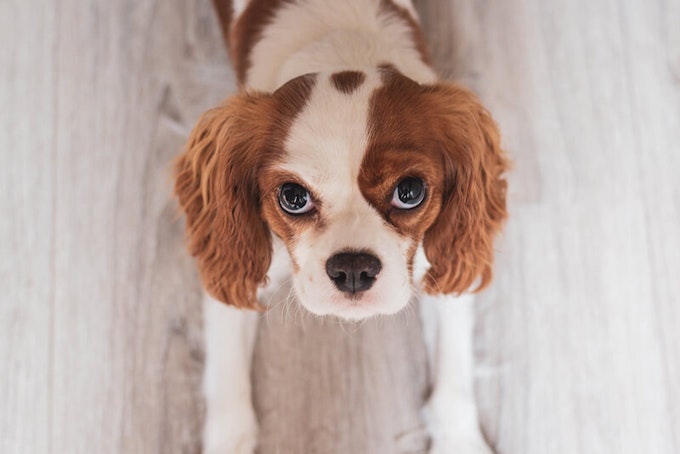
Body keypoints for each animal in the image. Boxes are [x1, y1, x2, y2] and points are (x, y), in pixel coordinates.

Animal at [173, 0, 508, 450]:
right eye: (293, 197)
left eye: (410, 191)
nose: (352, 268)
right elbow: (228, 386)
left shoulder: (439, 258)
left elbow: (454, 369)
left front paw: (459, 440)